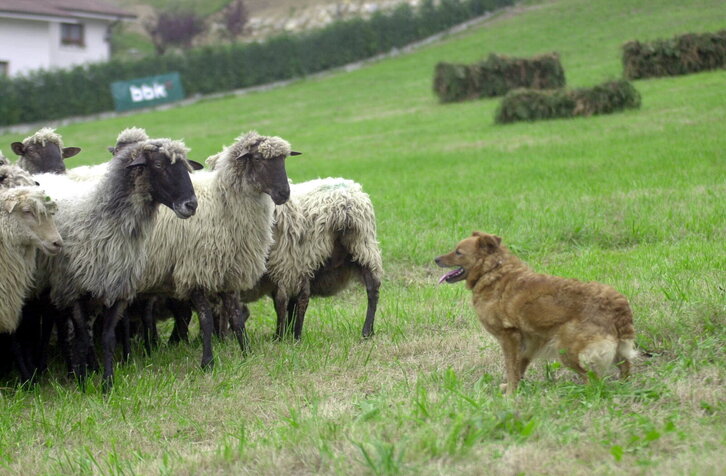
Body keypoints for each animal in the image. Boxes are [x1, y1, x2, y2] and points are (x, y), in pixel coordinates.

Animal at [34, 138, 199, 386]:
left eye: (186, 167)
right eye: (159, 165)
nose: (191, 205)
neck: (102, 221)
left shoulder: (116, 289)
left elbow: (108, 338)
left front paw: (107, 382)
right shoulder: (73, 291)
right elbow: (82, 339)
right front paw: (82, 384)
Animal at [139, 130, 298, 368]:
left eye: (284, 160)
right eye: (258, 159)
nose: (284, 193)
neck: (222, 204)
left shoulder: (230, 271)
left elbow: (237, 317)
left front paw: (247, 353)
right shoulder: (195, 272)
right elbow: (205, 320)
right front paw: (207, 362)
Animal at [436, 231, 636, 394]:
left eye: (458, 252)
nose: (436, 259)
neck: (493, 270)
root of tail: (617, 302)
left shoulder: (508, 336)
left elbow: (511, 368)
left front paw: (510, 395)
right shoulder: (528, 341)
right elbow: (519, 368)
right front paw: (512, 388)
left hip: (567, 349)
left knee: (592, 379)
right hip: (615, 349)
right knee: (625, 366)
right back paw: (623, 386)